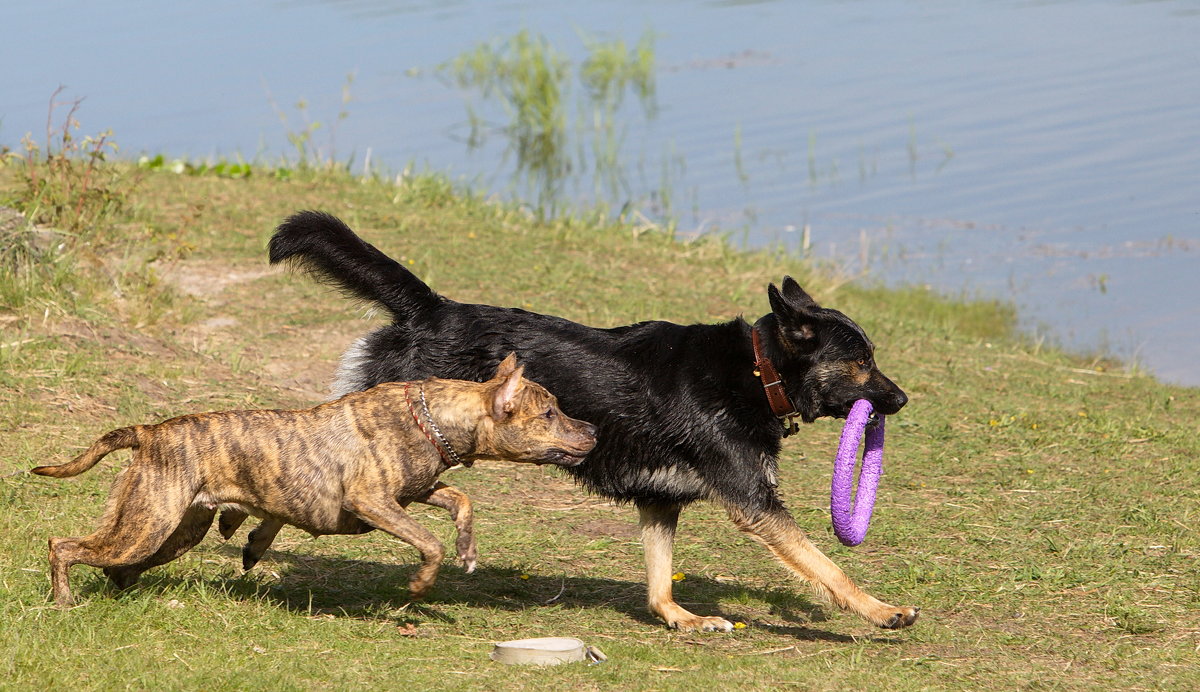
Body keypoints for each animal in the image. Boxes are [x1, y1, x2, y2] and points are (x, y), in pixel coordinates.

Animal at [35, 354, 597, 604]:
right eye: (550, 413)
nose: (592, 429)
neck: (434, 417)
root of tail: (149, 433)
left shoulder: (418, 490)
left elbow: (460, 501)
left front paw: (468, 550)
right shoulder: (373, 502)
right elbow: (427, 541)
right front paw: (421, 582)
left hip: (176, 529)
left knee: (115, 561)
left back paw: (122, 586)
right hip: (148, 523)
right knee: (63, 546)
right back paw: (65, 601)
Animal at [260, 211, 916, 633]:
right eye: (861, 362)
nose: (903, 399)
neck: (758, 371)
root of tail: (432, 309)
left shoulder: (661, 501)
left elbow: (660, 579)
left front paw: (679, 618)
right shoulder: (755, 503)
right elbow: (827, 567)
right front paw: (881, 610)